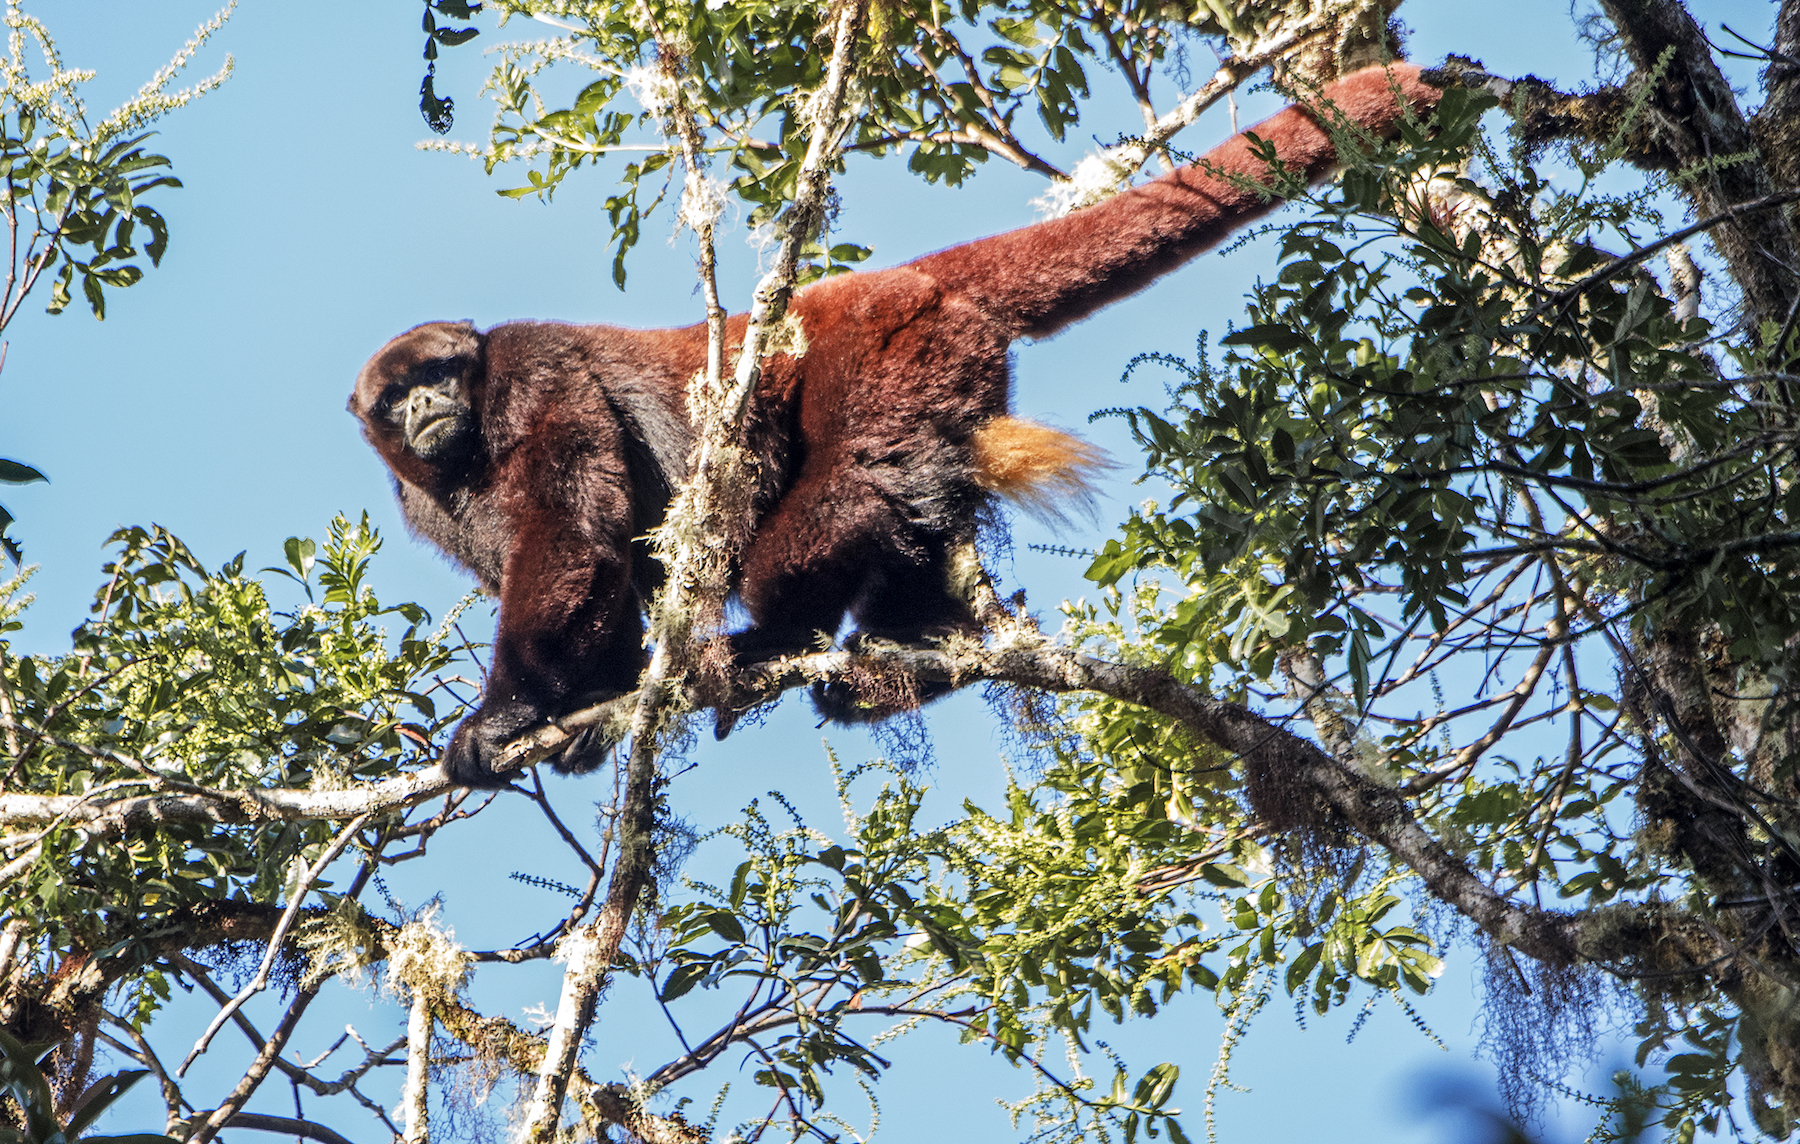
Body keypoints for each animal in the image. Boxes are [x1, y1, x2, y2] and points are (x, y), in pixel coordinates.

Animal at [351, 58, 1447, 780]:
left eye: (444, 372)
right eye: (400, 399)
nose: (432, 405)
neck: (464, 453)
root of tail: (894, 283)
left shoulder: (531, 372)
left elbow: (574, 536)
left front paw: (503, 719)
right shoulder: (423, 502)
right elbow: (593, 571)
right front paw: (579, 715)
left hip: (885, 353)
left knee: (847, 489)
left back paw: (770, 641)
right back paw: (930, 647)